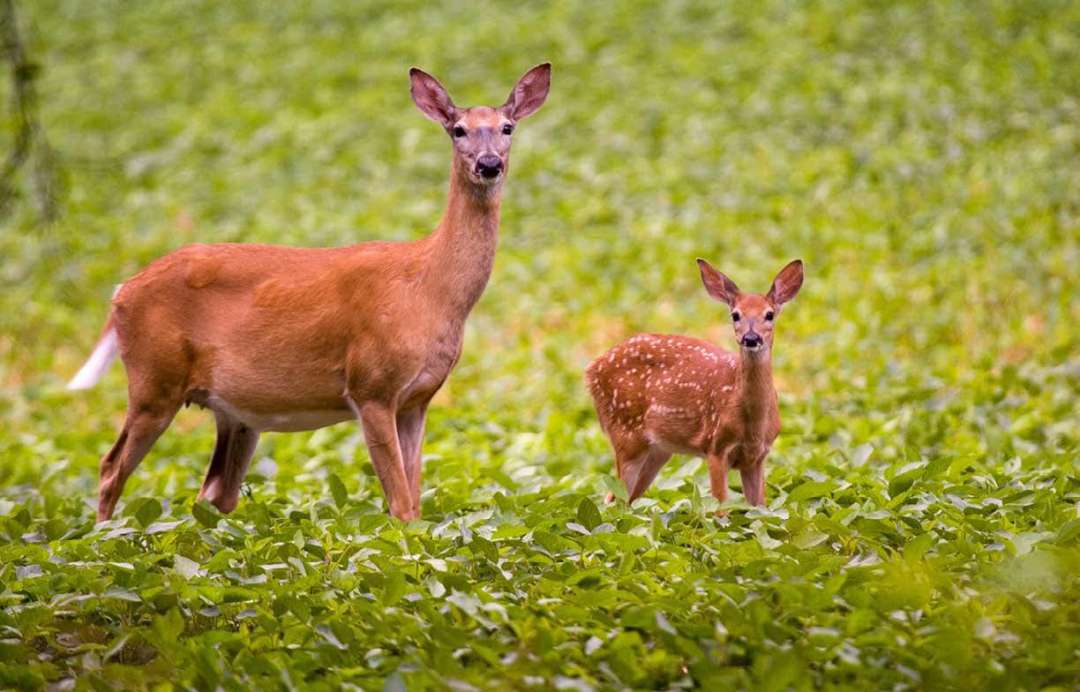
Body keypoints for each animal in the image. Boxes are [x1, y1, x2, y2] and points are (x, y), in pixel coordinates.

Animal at [66, 63, 551, 522]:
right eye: (458, 129)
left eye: (508, 127)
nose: (488, 164)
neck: (429, 289)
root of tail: (120, 293)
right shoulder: (370, 386)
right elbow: (400, 505)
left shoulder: (418, 399)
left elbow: (415, 501)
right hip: (153, 380)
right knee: (110, 468)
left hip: (232, 413)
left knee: (211, 495)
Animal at [586, 259, 804, 509]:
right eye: (735, 315)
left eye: (769, 314)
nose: (750, 338)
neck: (753, 426)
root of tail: (591, 369)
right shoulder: (716, 446)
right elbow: (720, 509)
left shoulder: (757, 457)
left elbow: (760, 508)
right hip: (625, 432)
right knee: (614, 501)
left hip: (658, 450)